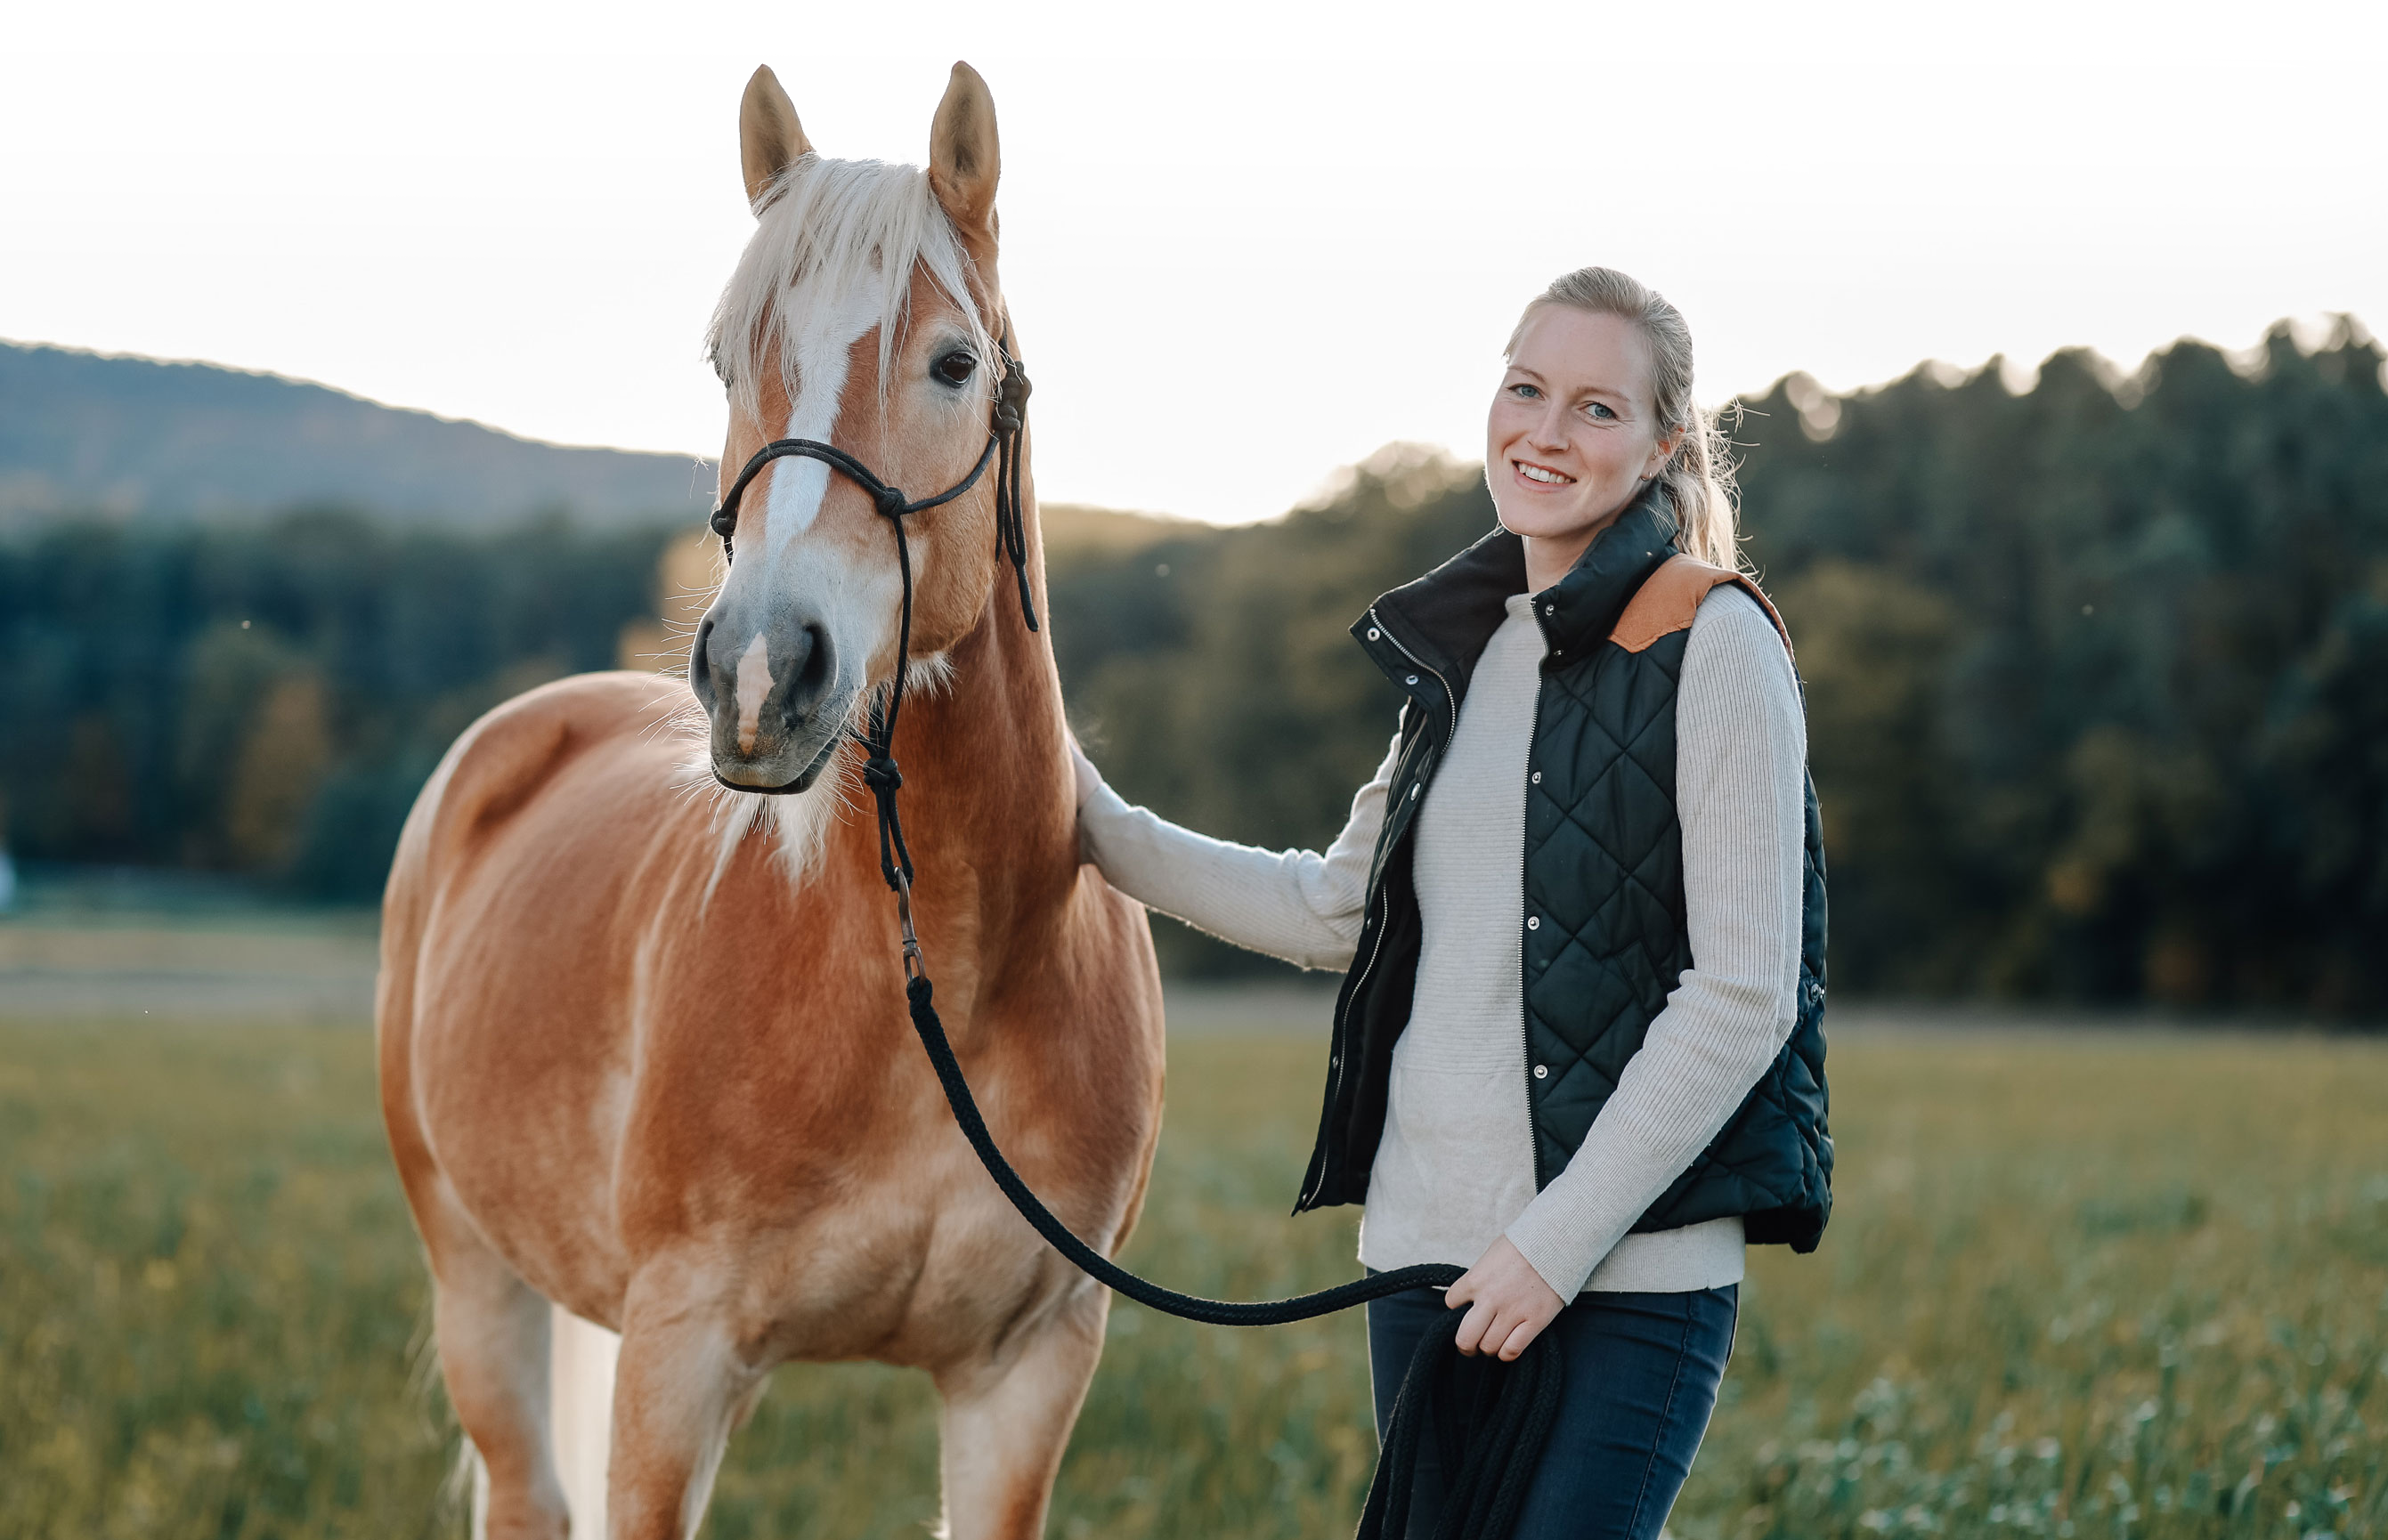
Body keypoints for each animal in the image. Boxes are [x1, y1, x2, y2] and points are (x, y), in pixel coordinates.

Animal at [372, 62, 1174, 1537]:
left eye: (954, 364)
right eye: (727, 363)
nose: (757, 670)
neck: (933, 975)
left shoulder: (1026, 1375)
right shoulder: (676, 1359)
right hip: (476, 1281)